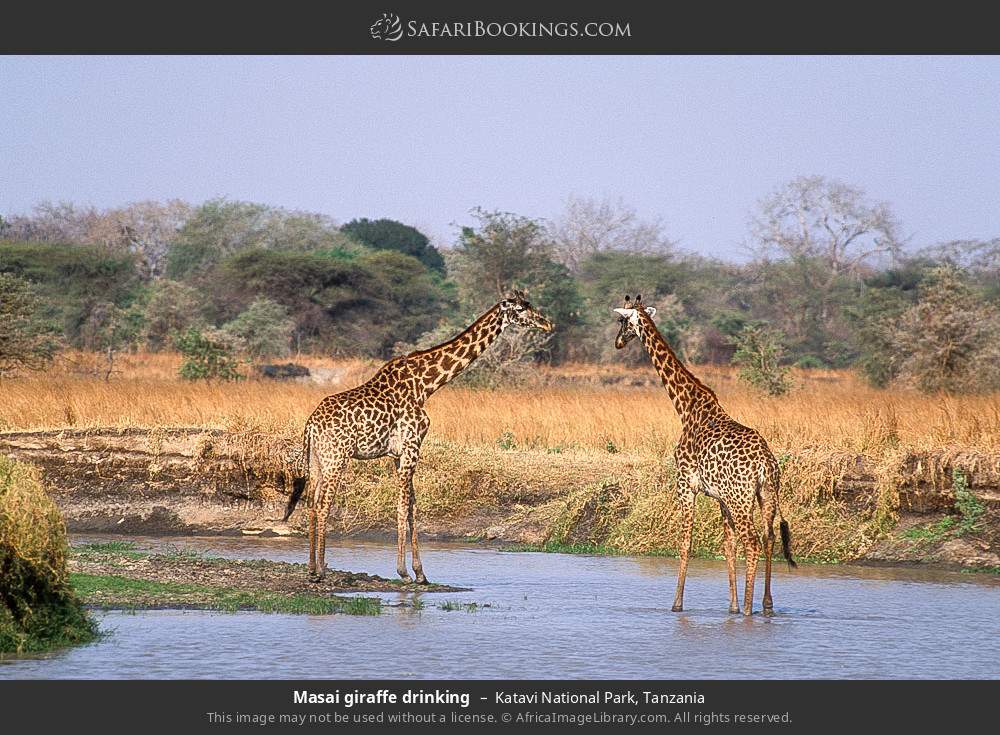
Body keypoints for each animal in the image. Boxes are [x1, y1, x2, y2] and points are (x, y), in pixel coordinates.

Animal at [282, 291, 554, 583]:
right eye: (520, 309)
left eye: (529, 304)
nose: (546, 323)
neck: (426, 384)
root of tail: (311, 425)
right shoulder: (413, 446)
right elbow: (403, 507)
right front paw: (404, 572)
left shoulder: (398, 454)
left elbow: (412, 506)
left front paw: (421, 572)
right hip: (337, 458)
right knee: (323, 505)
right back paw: (322, 570)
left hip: (317, 461)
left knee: (311, 504)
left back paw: (311, 568)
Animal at [613, 294, 795, 615]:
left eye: (623, 321)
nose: (618, 342)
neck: (686, 407)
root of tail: (765, 463)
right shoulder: (720, 496)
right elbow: (728, 546)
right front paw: (731, 607)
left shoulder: (685, 483)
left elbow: (685, 542)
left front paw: (677, 604)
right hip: (765, 494)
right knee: (769, 537)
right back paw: (765, 604)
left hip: (741, 498)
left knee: (752, 541)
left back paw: (749, 608)